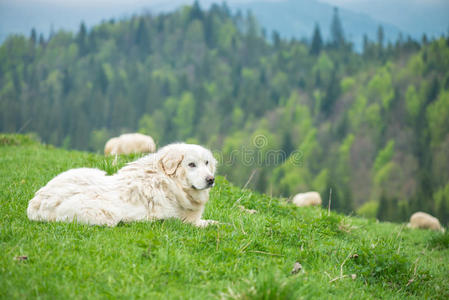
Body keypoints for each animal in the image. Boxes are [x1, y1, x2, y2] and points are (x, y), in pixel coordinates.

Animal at [27, 144, 218, 227]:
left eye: (206, 162)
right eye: (191, 164)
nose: (211, 179)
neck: (169, 181)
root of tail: (35, 203)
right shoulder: (181, 221)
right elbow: (210, 224)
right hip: (106, 214)